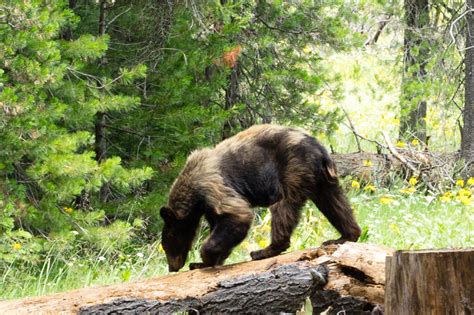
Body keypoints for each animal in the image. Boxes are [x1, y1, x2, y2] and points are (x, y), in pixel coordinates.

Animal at [159, 124, 360, 272]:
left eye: (168, 245)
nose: (172, 267)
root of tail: (320, 149)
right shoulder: (208, 205)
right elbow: (222, 224)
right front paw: (208, 260)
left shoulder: (212, 185)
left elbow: (238, 214)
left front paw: (204, 258)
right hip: (323, 179)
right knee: (335, 203)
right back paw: (345, 236)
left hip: (293, 169)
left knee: (283, 208)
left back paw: (264, 250)